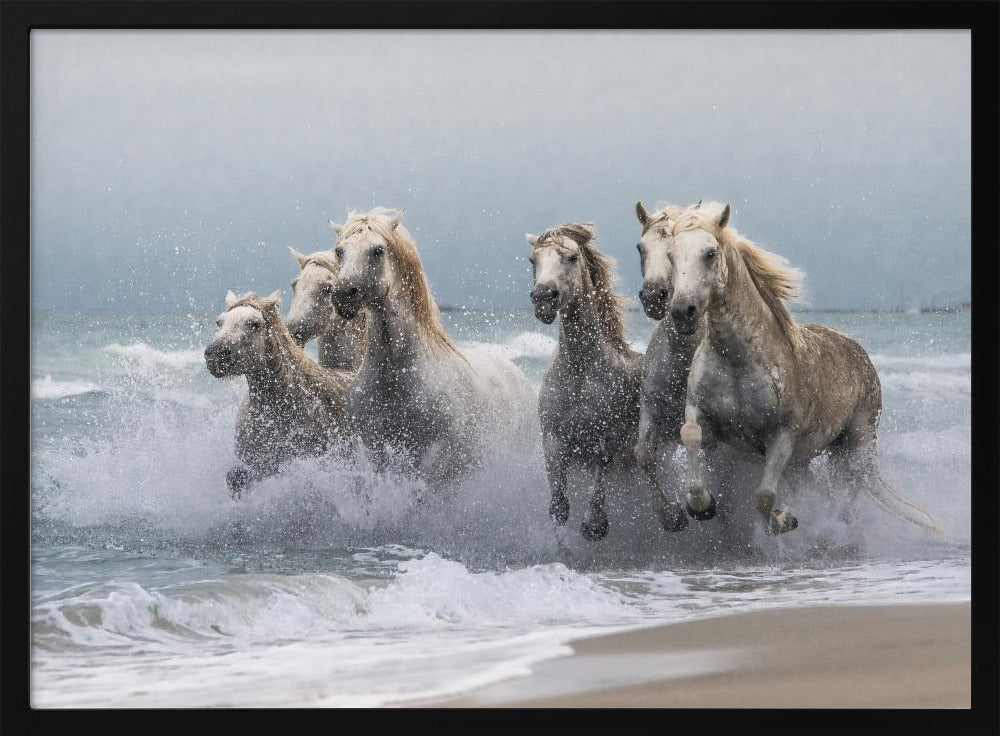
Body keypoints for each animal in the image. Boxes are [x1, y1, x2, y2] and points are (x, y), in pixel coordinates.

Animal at [327, 207, 537, 486]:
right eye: (340, 251)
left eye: (377, 251)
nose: (342, 296)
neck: (396, 376)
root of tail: (517, 374)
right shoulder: (376, 451)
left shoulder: (437, 455)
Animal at [527, 222, 646, 541]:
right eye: (533, 260)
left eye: (571, 257)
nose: (543, 298)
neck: (581, 371)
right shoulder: (553, 438)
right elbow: (559, 506)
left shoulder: (607, 437)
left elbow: (601, 470)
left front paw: (594, 524)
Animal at [662, 202, 940, 535]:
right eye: (670, 255)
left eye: (710, 253)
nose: (683, 312)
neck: (737, 360)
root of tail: (860, 353)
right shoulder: (700, 410)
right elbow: (690, 434)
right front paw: (701, 505)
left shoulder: (783, 437)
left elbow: (764, 497)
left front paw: (784, 521)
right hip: (806, 461)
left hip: (855, 445)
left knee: (850, 490)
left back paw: (841, 527)